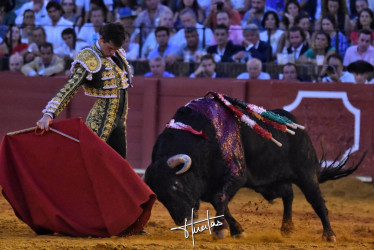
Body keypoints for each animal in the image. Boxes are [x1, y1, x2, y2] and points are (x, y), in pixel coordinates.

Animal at [145, 93, 364, 241]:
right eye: (160, 197)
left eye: (176, 185)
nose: (184, 221)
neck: (200, 137)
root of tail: (296, 124)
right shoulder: (209, 186)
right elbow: (220, 203)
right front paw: (236, 230)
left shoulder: (236, 175)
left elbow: (220, 198)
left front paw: (220, 230)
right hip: (268, 183)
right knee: (288, 193)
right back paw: (287, 228)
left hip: (307, 173)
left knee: (316, 201)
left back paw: (329, 235)